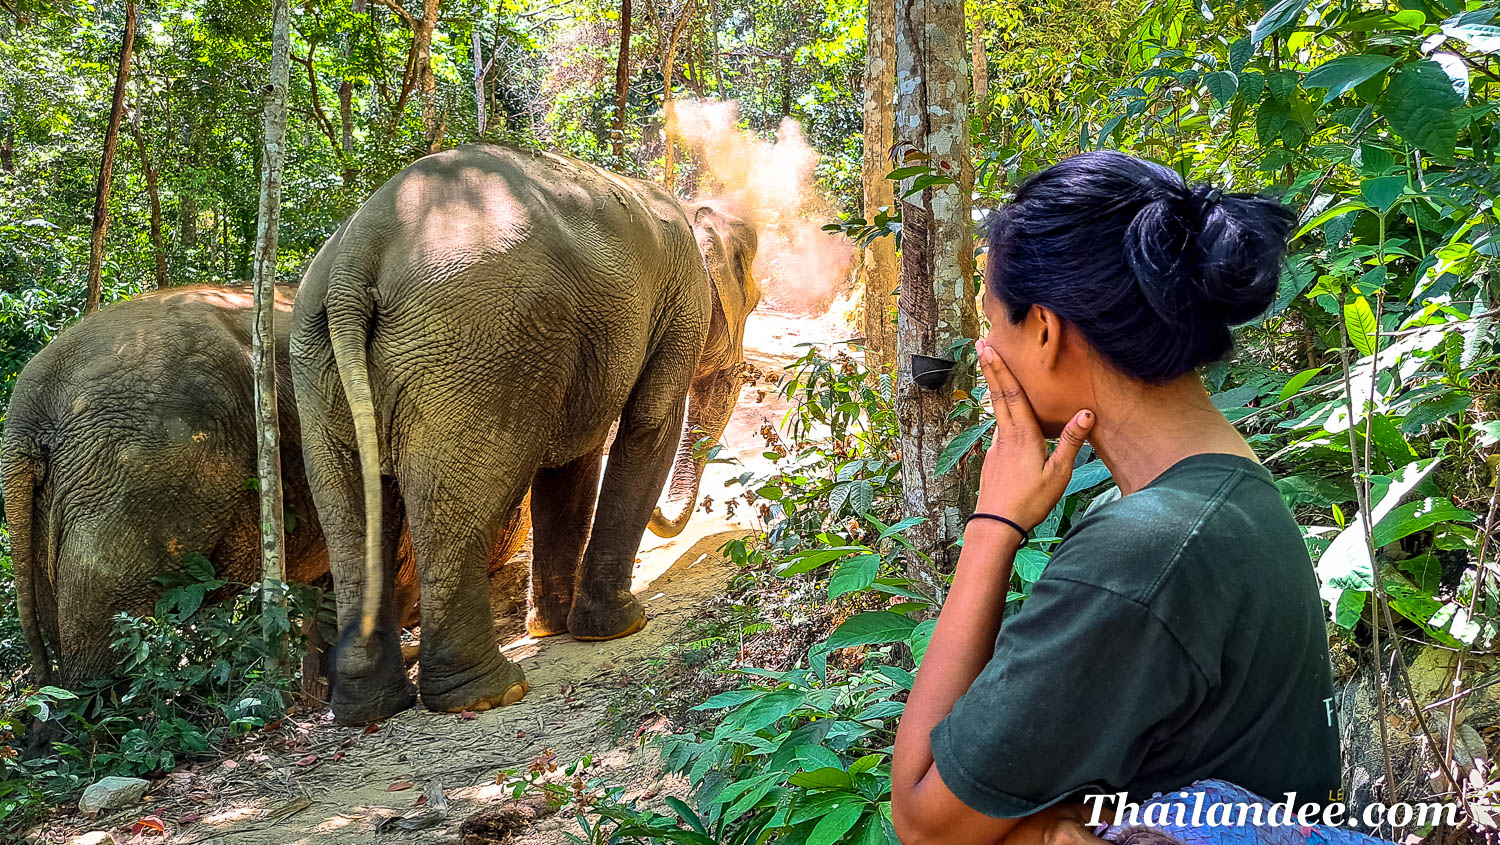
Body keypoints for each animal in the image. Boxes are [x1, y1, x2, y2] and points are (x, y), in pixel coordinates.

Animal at [289, 141, 762, 723]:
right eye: (754, 301)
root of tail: (355, 260)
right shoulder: (681, 306)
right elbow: (647, 424)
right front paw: (621, 626)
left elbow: (572, 464)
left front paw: (550, 629)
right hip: (477, 348)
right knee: (456, 509)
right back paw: (490, 694)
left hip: (318, 366)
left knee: (351, 521)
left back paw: (369, 707)